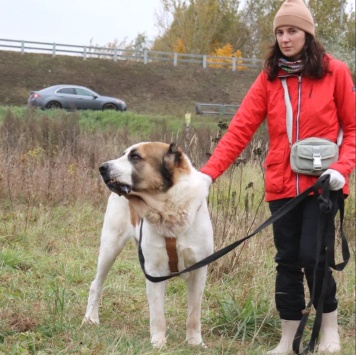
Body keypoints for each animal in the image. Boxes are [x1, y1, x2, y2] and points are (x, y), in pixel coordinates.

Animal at [82, 141, 213, 348]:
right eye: (124, 154)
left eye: (135, 157)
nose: (102, 167)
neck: (168, 210)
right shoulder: (154, 271)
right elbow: (157, 314)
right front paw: (158, 343)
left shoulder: (199, 270)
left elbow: (194, 313)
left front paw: (195, 342)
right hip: (110, 247)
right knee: (96, 284)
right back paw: (91, 318)